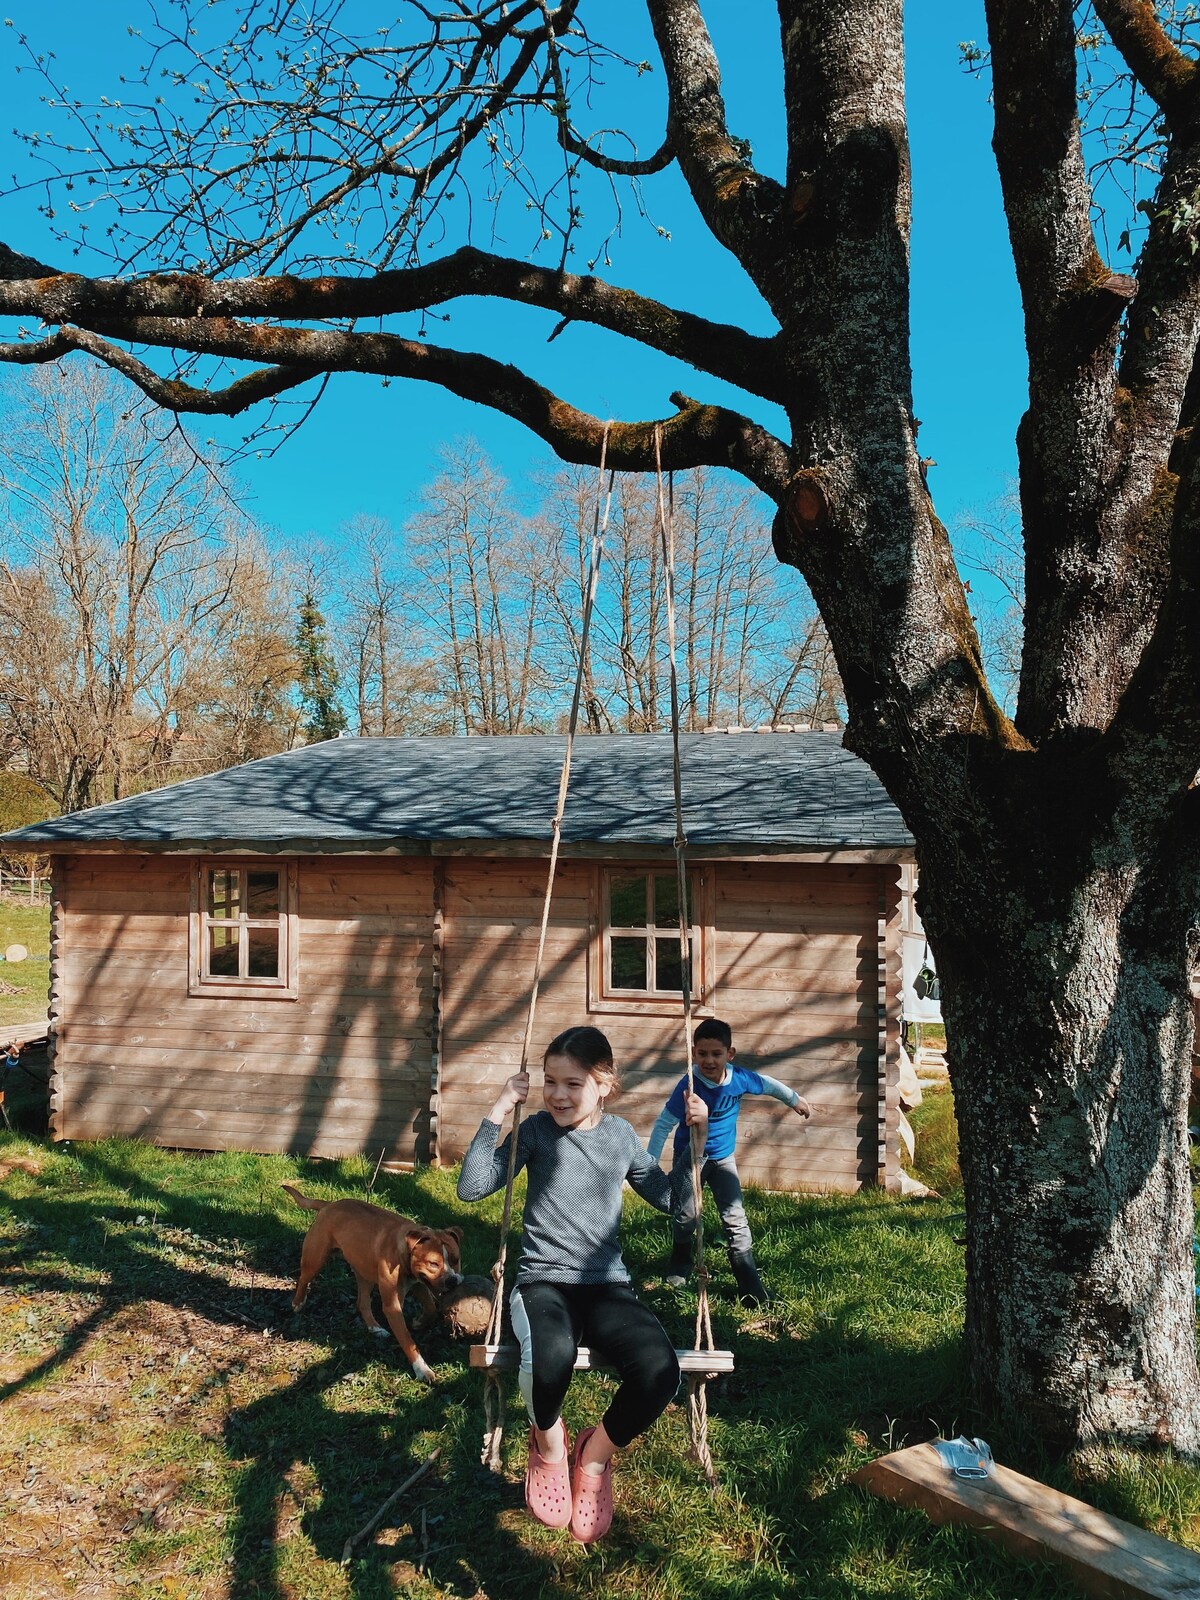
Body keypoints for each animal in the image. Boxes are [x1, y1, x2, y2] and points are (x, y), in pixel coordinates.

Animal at [284, 1184, 464, 1382]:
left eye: (456, 1260)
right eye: (433, 1263)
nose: (452, 1280)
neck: (405, 1251)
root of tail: (328, 1205)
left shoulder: (418, 1283)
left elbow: (431, 1308)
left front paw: (419, 1322)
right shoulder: (393, 1306)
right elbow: (408, 1340)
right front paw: (421, 1369)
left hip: (364, 1272)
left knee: (362, 1302)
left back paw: (375, 1328)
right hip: (316, 1258)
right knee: (304, 1278)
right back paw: (298, 1302)